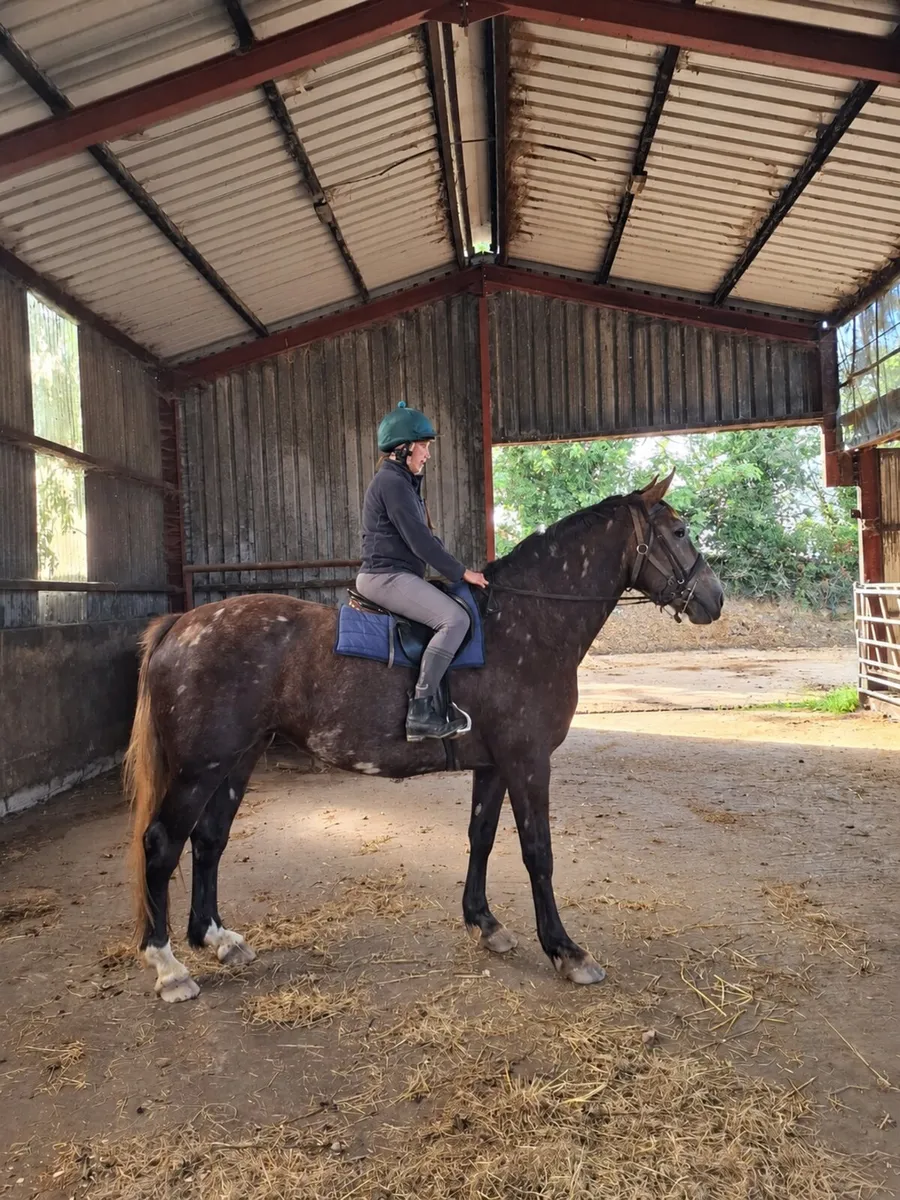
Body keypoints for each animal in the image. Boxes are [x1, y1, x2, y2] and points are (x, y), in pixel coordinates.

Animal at [125, 472, 724, 1002]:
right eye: (678, 531)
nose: (714, 600)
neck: (526, 621)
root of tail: (181, 624)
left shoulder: (494, 765)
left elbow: (481, 836)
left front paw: (484, 923)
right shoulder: (528, 761)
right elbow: (538, 852)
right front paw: (565, 951)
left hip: (237, 759)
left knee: (209, 840)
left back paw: (218, 939)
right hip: (200, 768)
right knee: (162, 844)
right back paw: (169, 967)